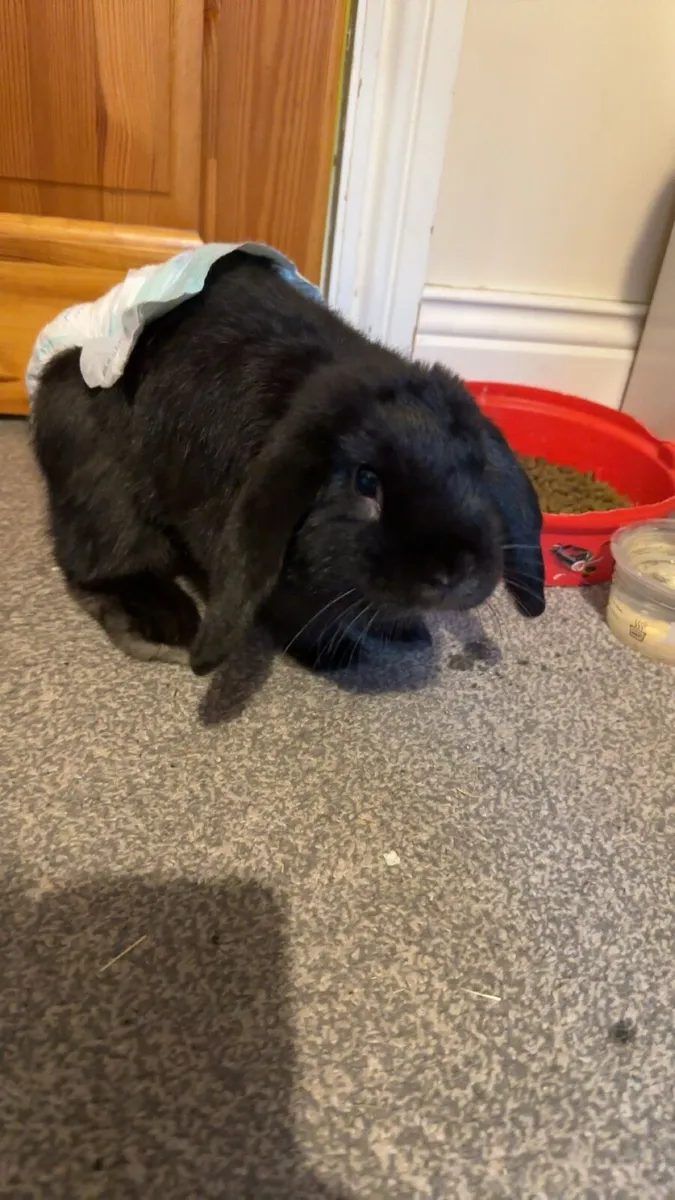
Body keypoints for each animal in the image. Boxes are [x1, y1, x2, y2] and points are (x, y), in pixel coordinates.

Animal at [31, 249, 545, 675]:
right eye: (365, 482)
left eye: (477, 469)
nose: (450, 572)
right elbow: (300, 616)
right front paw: (337, 655)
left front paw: (405, 630)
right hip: (103, 486)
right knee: (99, 565)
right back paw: (166, 623)